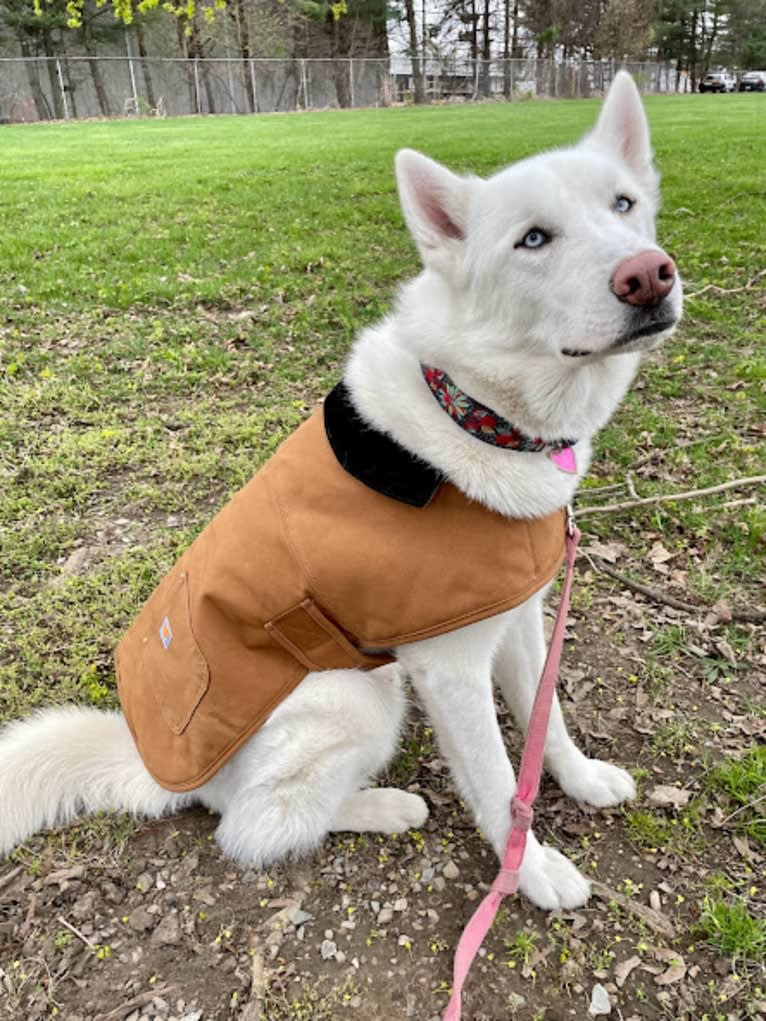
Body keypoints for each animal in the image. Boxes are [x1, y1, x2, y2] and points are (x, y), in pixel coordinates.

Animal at [0, 75, 682, 914]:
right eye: (532, 239)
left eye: (623, 203)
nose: (648, 274)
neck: (474, 411)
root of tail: (152, 763)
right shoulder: (449, 668)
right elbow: (497, 778)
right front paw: (529, 868)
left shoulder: (520, 620)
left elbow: (542, 721)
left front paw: (579, 780)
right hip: (360, 692)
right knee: (252, 827)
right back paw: (385, 805)